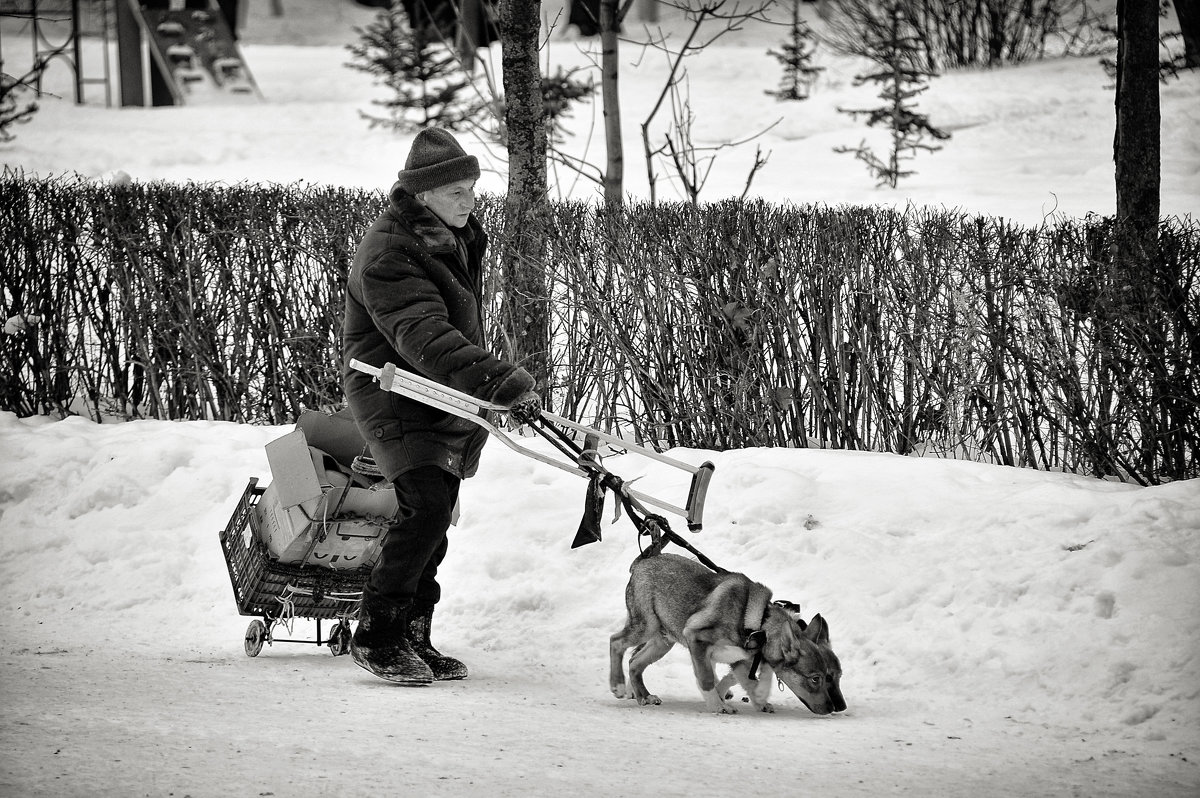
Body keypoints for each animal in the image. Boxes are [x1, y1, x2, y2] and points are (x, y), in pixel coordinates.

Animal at [609, 552, 844, 710]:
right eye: (816, 679)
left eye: (831, 676)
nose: (834, 708)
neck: (760, 625)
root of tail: (642, 562)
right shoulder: (696, 638)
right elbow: (706, 678)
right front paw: (717, 706)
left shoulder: (742, 659)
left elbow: (749, 680)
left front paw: (759, 700)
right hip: (646, 626)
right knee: (616, 642)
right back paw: (618, 686)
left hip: (662, 641)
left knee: (635, 662)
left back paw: (644, 696)